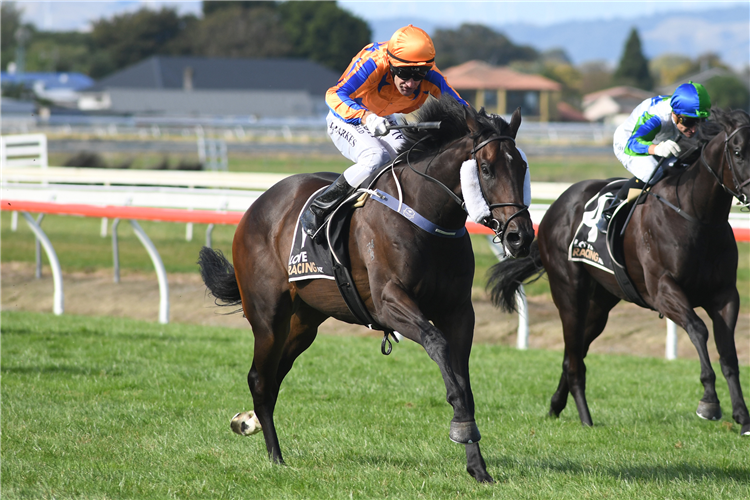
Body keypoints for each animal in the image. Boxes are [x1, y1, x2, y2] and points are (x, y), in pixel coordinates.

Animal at [200, 95, 536, 482]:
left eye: (522, 167)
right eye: (485, 168)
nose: (520, 236)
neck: (426, 214)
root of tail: (256, 205)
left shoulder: (459, 312)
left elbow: (462, 378)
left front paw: (477, 464)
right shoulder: (390, 301)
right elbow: (437, 345)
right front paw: (460, 426)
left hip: (305, 321)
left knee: (274, 376)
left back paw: (249, 422)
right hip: (268, 315)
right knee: (259, 377)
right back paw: (275, 456)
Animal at [488, 107, 750, 436]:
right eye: (738, 152)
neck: (697, 216)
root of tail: (553, 209)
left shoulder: (726, 295)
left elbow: (729, 354)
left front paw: (742, 415)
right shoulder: (664, 291)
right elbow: (699, 330)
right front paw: (709, 402)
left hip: (600, 304)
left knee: (573, 353)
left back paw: (556, 406)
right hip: (569, 293)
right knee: (574, 356)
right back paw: (585, 418)